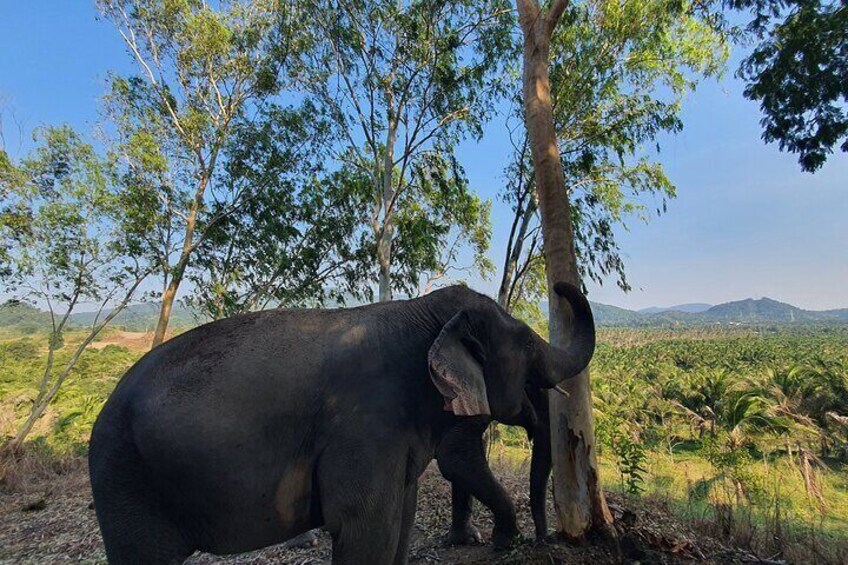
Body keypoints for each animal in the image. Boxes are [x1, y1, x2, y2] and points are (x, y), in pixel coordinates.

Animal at [88, 280, 596, 560]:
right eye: (527, 344)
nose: (542, 540)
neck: (422, 310)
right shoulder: (364, 426)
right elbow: (364, 526)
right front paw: (501, 542)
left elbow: (401, 521)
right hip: (125, 481)